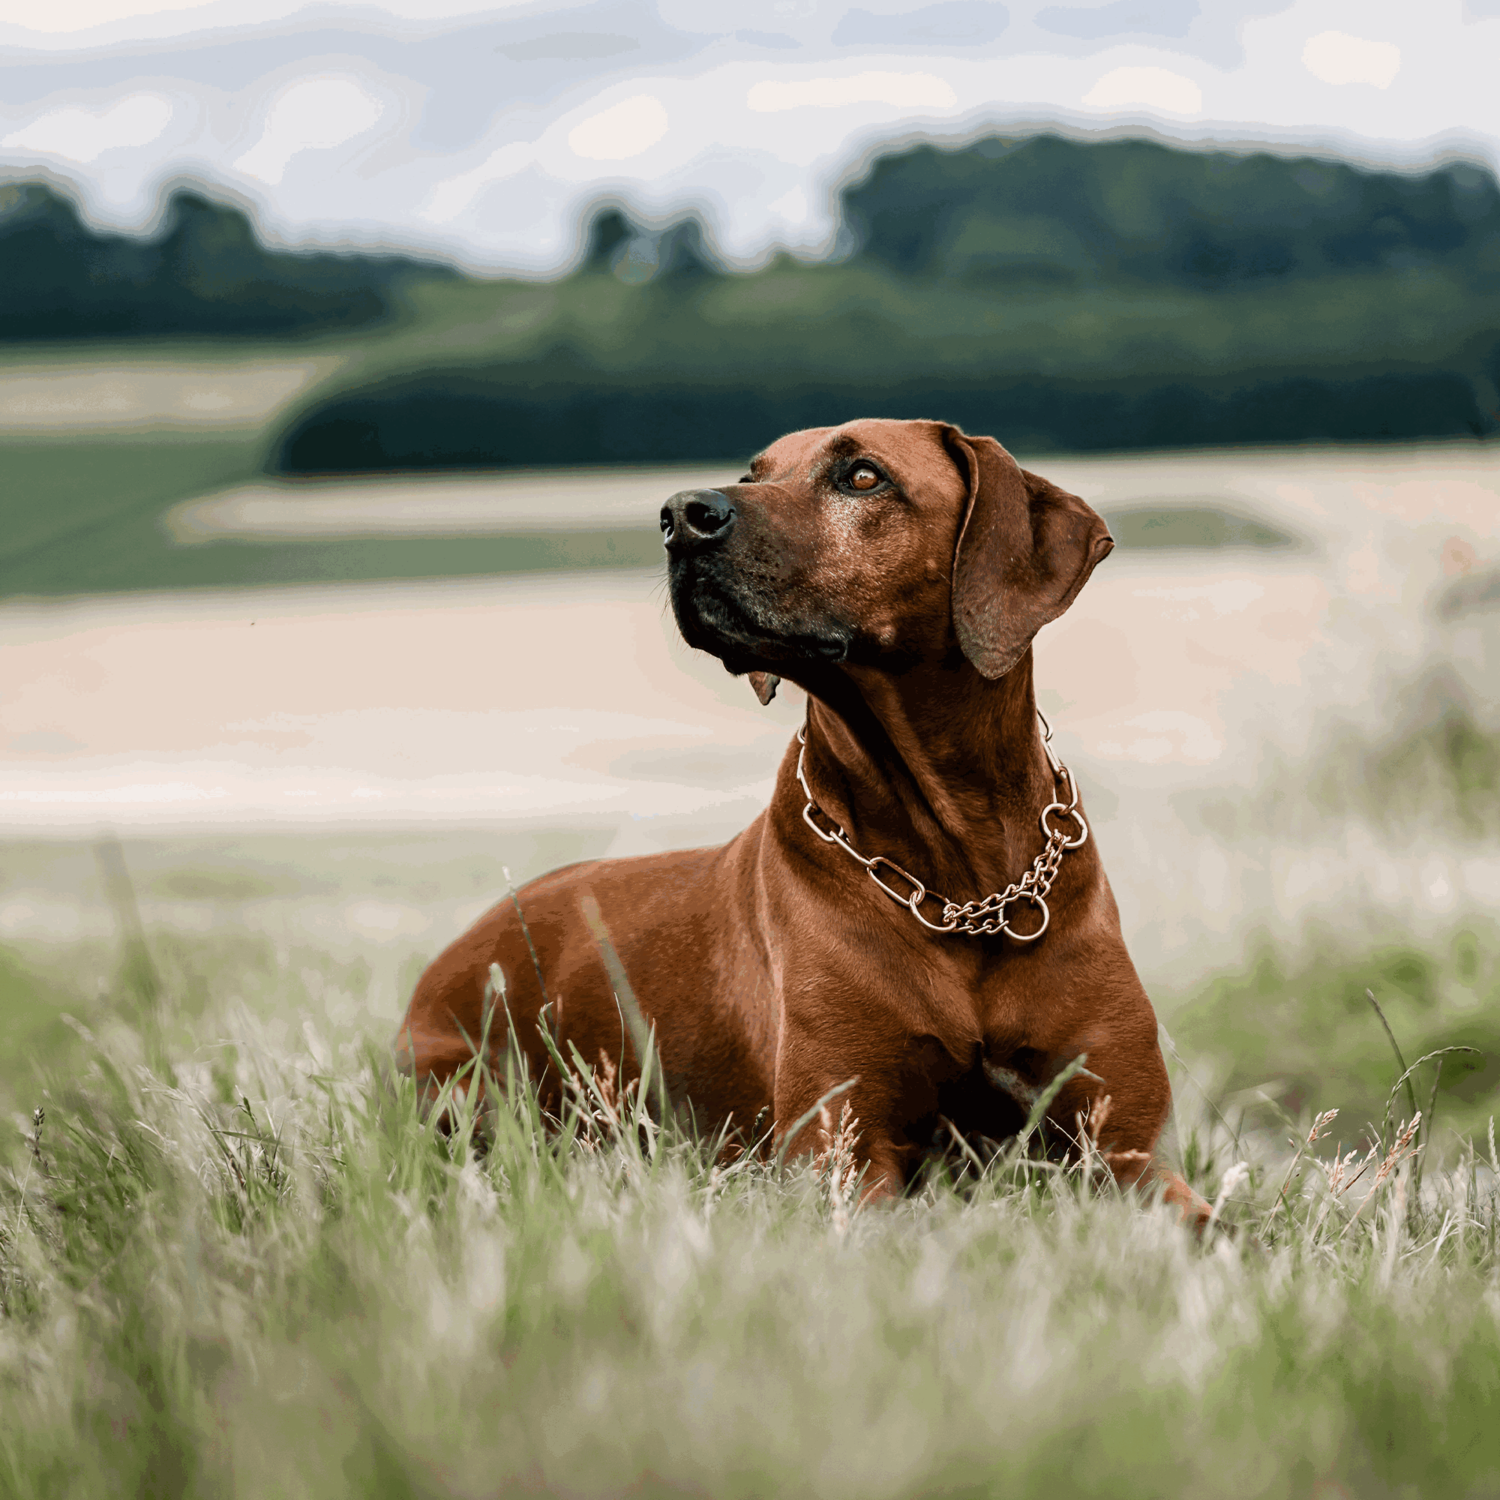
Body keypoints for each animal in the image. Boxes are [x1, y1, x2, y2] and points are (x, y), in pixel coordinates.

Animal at [396, 420, 1206, 1218]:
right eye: (752, 476)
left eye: (863, 476)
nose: (680, 515)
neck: (962, 880)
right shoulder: (837, 1153)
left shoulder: (1128, 1149)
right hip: (467, 1096)